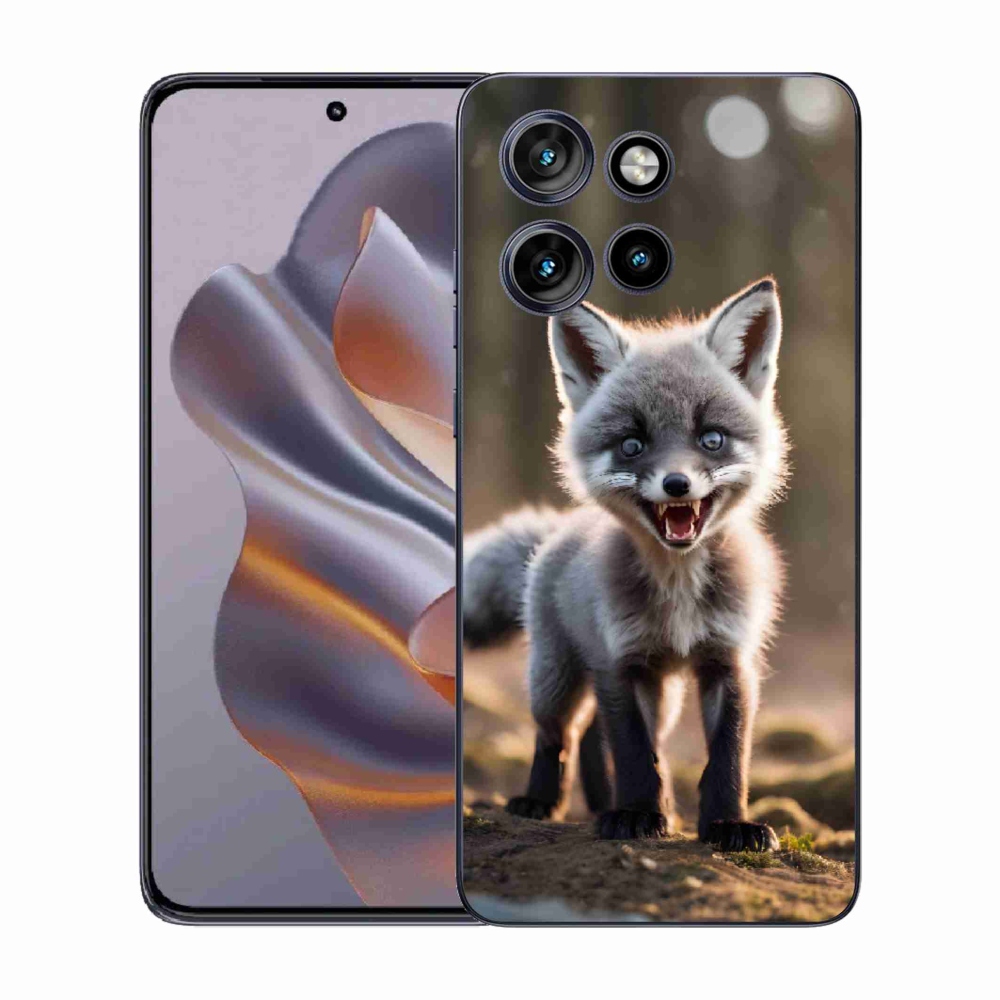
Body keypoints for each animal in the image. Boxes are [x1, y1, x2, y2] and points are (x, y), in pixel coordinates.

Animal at [464, 278, 789, 849]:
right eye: (632, 445)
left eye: (711, 438)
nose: (677, 484)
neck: (678, 589)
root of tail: (558, 529)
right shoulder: (620, 661)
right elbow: (636, 755)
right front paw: (637, 814)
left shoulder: (729, 661)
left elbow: (727, 758)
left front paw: (729, 824)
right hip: (556, 677)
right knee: (559, 734)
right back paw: (541, 801)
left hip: (662, 694)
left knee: (595, 734)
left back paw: (605, 803)